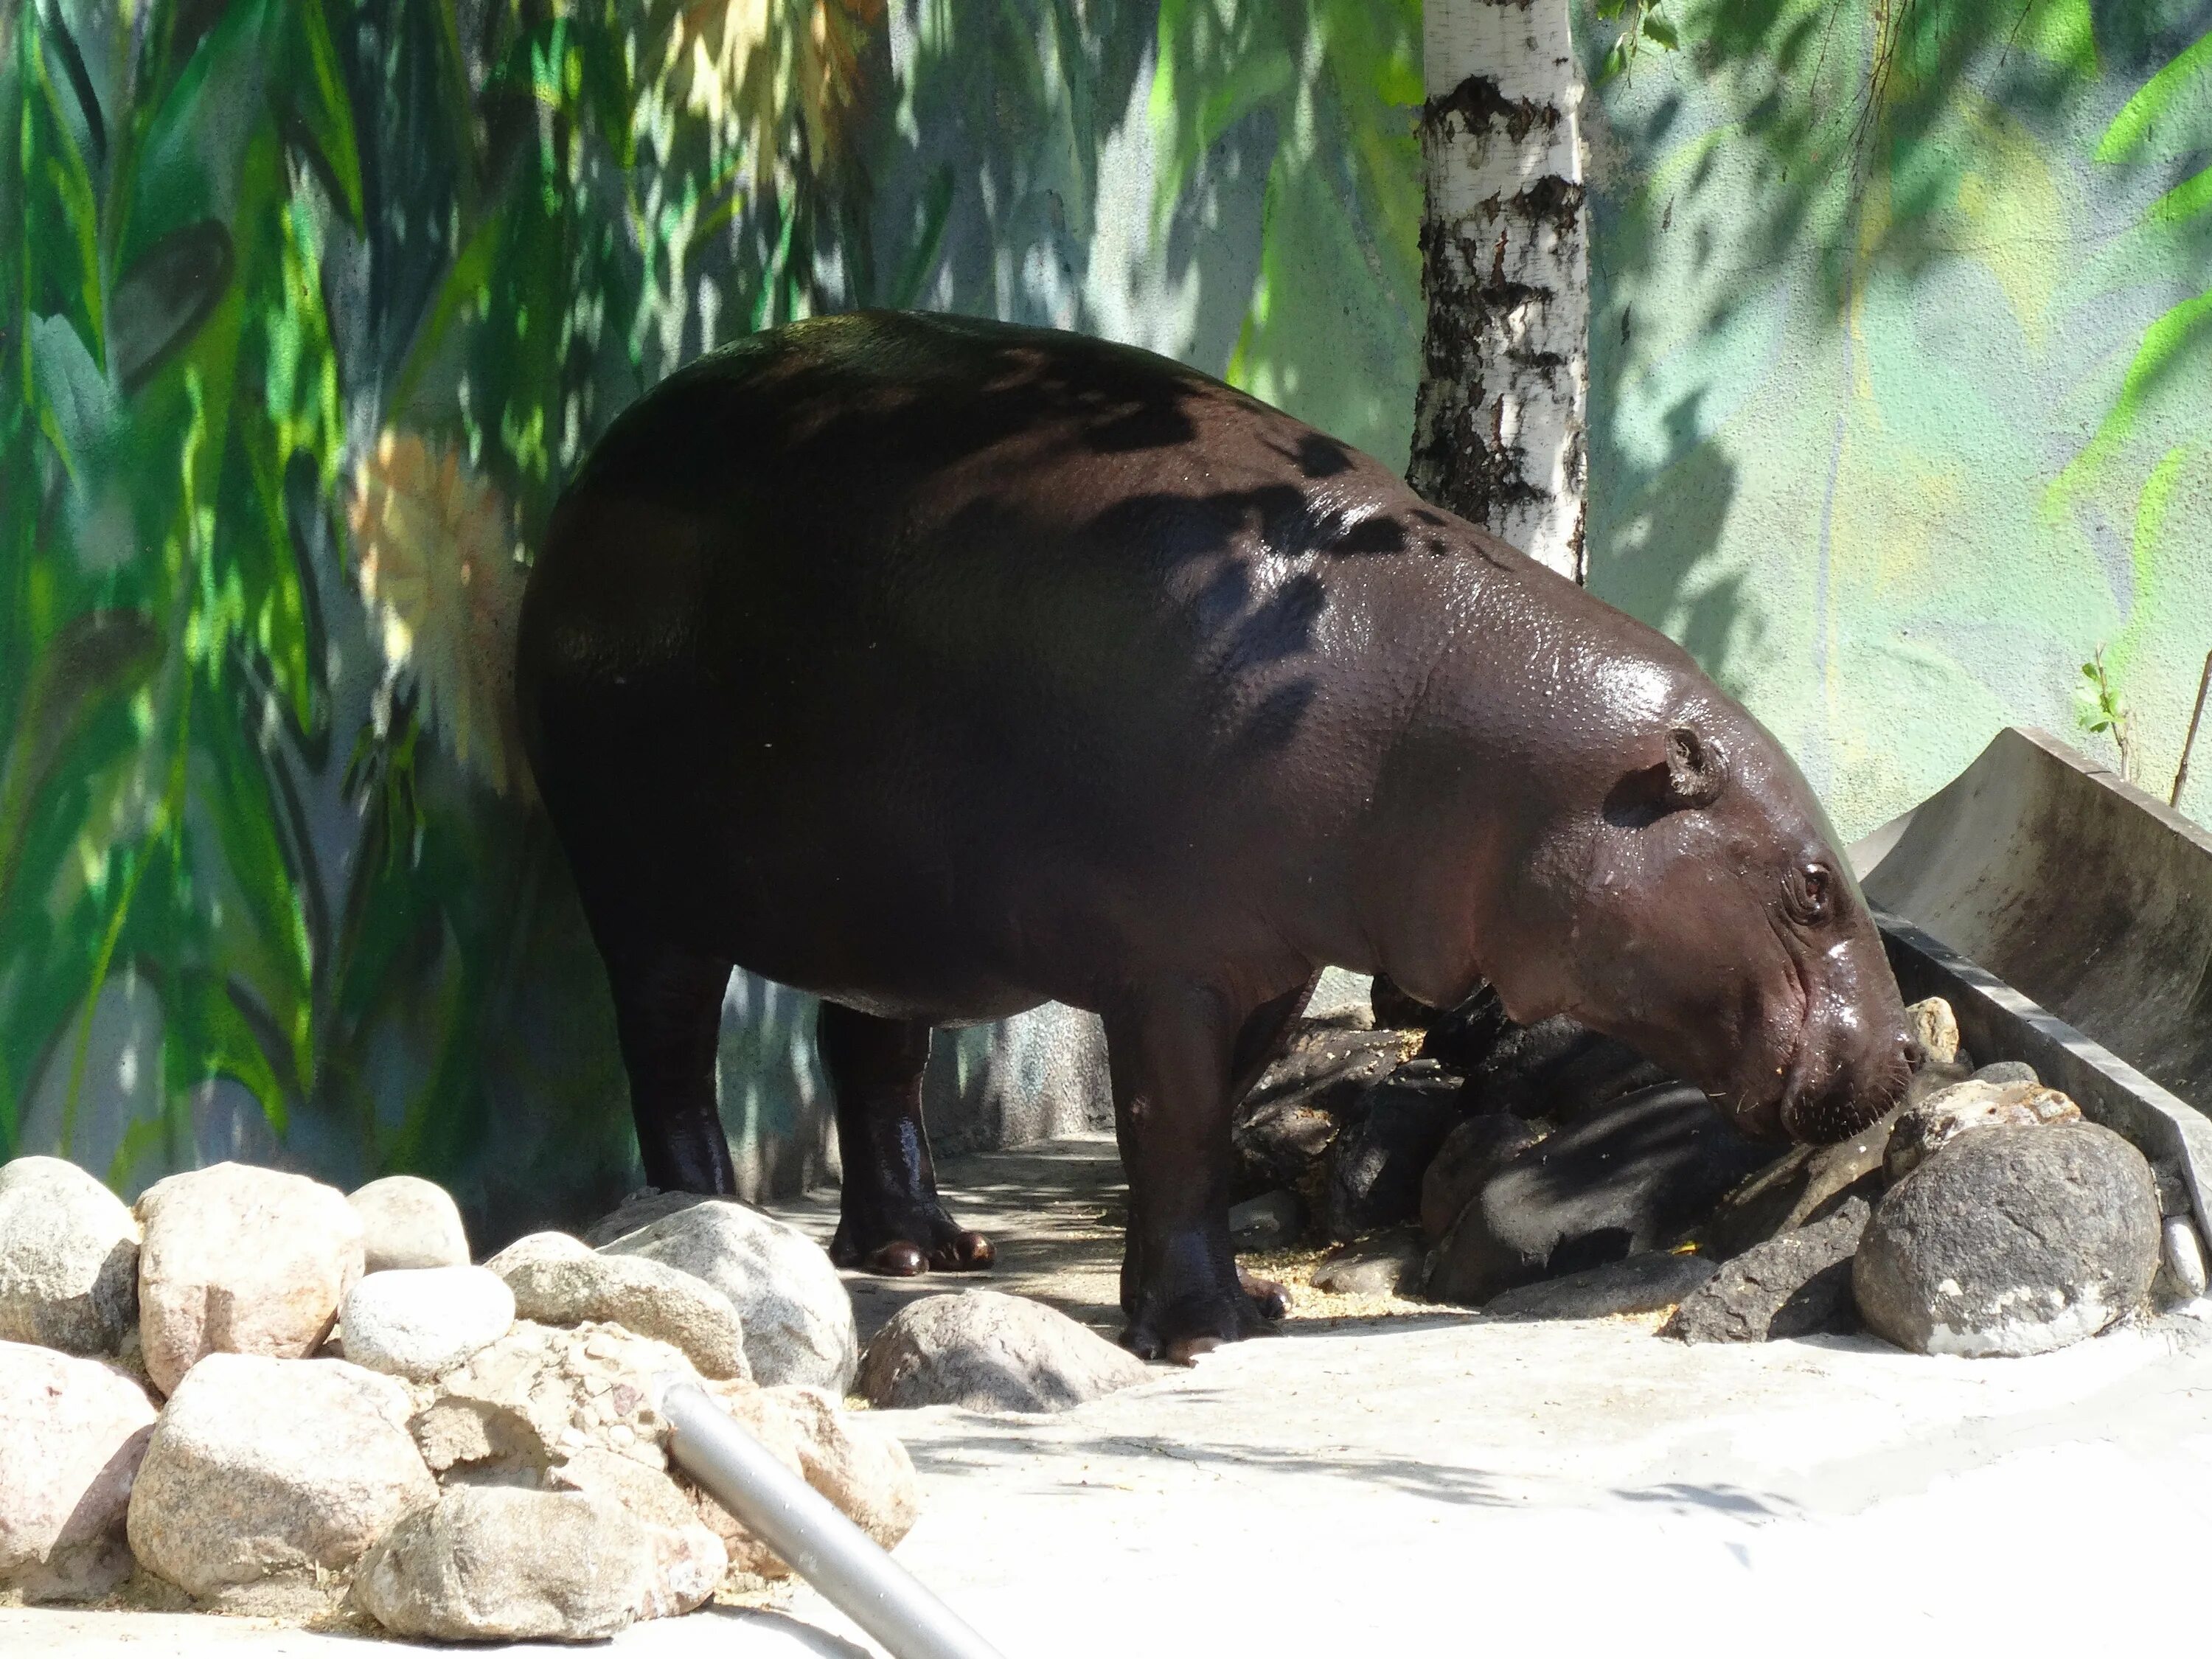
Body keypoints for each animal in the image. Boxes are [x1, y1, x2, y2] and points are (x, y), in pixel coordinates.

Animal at [518, 312, 1920, 1363]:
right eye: (1810, 885)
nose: (1908, 1050)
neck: (1481, 736)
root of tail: (602, 455)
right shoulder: (1173, 965)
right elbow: (1177, 1122)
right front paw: (1202, 1333)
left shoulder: (1274, 958)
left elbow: (1205, 1128)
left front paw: (1250, 1305)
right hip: (640, 891)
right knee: (668, 1051)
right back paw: (706, 1214)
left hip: (887, 913)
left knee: (872, 1057)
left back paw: (928, 1249)